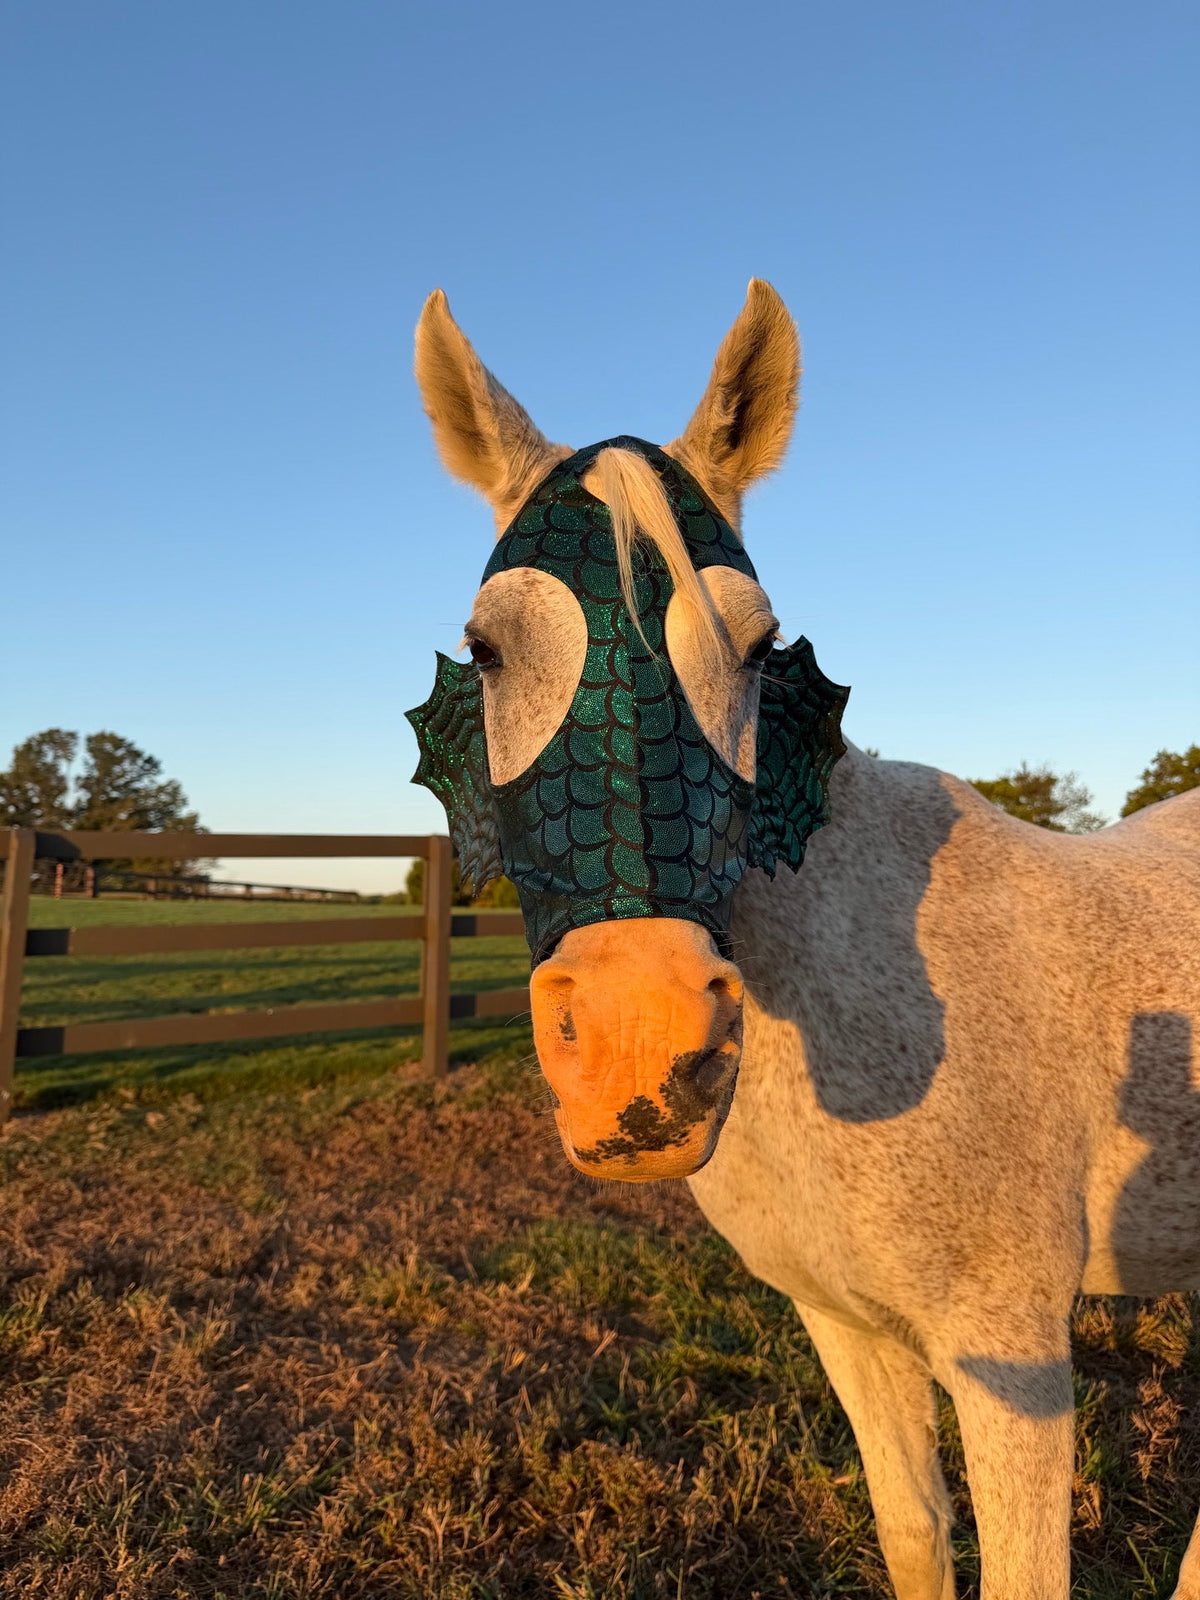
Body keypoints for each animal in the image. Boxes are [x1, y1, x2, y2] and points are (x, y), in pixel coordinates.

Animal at [410, 279, 1200, 1599]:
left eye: (758, 643)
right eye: (484, 649)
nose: (639, 1043)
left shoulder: (1014, 1362)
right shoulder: (845, 1324)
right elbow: (914, 1533)